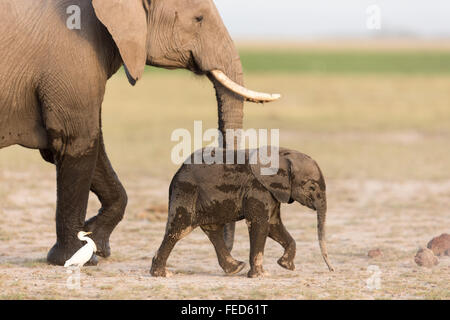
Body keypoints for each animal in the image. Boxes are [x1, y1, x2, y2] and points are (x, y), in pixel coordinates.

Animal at [0, 0, 278, 264]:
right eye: (198, 19)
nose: (235, 260)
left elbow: (90, 146)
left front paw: (95, 242)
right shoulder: (72, 59)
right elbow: (75, 141)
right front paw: (77, 257)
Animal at [151, 148, 334, 278]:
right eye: (311, 186)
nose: (332, 270)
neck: (282, 154)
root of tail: (178, 170)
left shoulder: (272, 192)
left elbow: (273, 225)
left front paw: (286, 266)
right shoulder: (258, 189)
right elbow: (260, 224)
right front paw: (261, 275)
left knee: (212, 230)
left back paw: (236, 268)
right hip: (186, 191)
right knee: (179, 229)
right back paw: (163, 274)